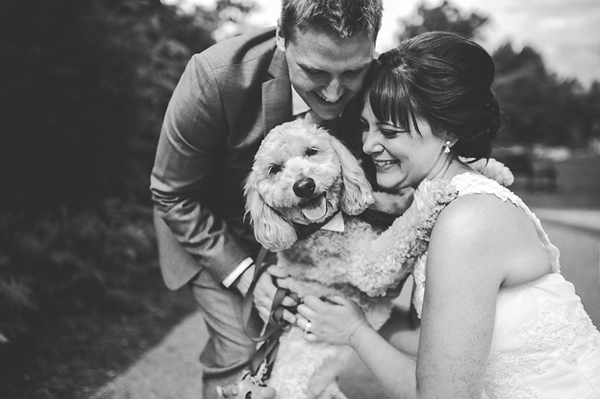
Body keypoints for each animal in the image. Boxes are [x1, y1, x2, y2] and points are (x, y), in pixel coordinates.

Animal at [244, 119, 394, 399]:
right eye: (274, 169)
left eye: (311, 151)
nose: (304, 186)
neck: (319, 227)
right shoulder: (370, 268)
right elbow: (406, 229)